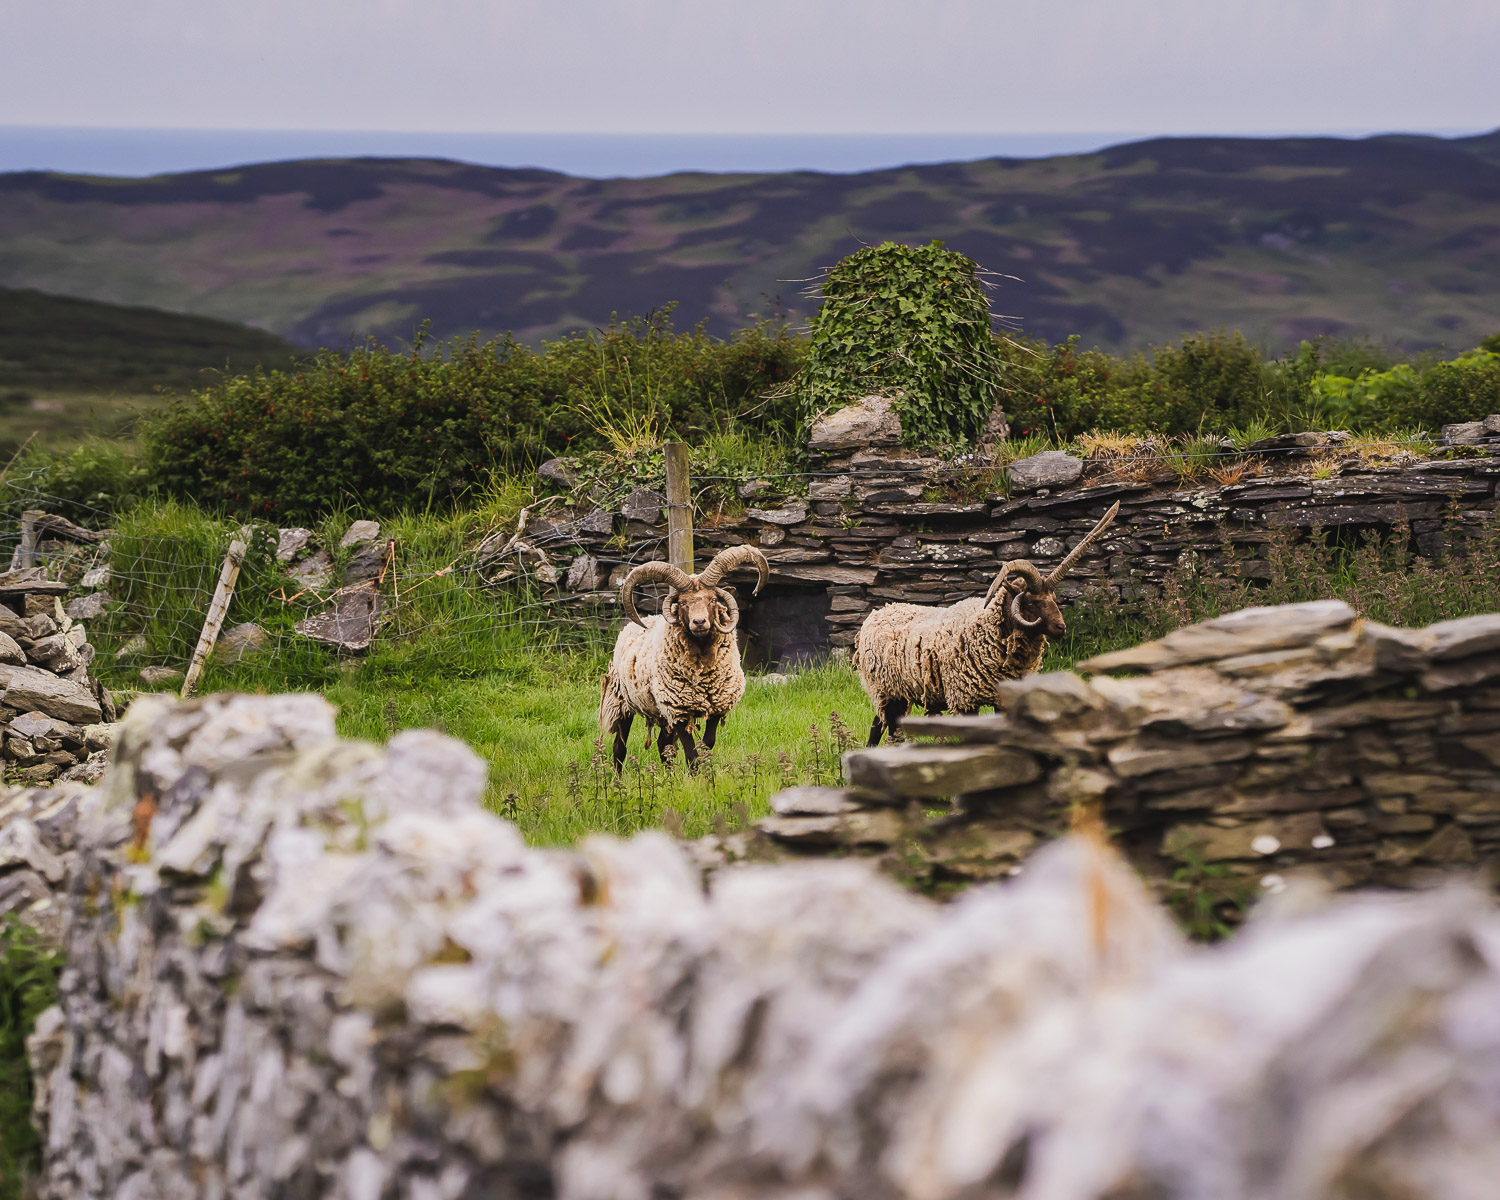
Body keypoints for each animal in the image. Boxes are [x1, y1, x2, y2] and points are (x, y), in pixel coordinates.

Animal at [594, 540, 768, 768]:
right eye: (683, 603)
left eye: (713, 600)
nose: (699, 622)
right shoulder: (678, 710)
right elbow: (691, 754)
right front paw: (696, 774)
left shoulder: (716, 706)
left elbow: (707, 744)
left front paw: (706, 769)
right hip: (622, 701)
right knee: (619, 748)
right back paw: (617, 776)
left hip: (659, 711)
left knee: (663, 744)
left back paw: (667, 774)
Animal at [852, 498, 1122, 741]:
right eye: (1032, 602)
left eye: (1053, 598)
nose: (1061, 628)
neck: (989, 629)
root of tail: (877, 614)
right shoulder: (965, 697)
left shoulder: (1004, 697)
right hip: (886, 689)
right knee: (882, 728)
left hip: (896, 692)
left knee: (885, 727)